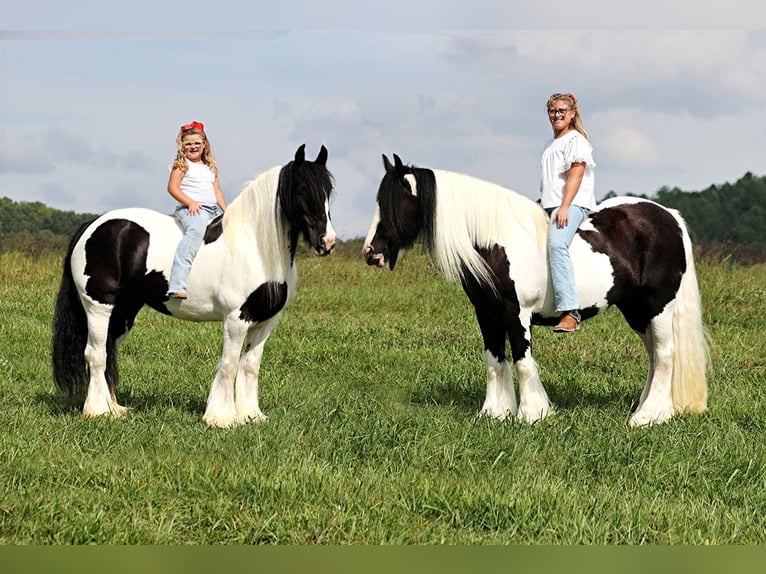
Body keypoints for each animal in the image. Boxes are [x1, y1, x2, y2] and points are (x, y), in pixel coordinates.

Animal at [54, 146, 336, 430]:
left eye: (328, 191)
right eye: (302, 189)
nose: (327, 242)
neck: (255, 247)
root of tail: (93, 224)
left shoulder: (265, 321)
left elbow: (250, 366)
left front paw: (251, 416)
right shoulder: (236, 319)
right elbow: (229, 365)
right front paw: (222, 418)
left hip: (124, 310)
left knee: (109, 352)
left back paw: (114, 408)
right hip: (98, 306)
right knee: (95, 354)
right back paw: (98, 411)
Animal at [364, 155, 712, 430]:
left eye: (392, 204)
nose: (371, 252)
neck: (497, 240)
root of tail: (669, 216)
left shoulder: (516, 313)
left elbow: (522, 361)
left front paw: (532, 414)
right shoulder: (487, 313)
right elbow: (494, 361)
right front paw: (494, 413)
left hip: (658, 304)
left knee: (665, 355)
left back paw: (647, 417)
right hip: (636, 310)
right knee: (654, 356)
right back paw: (651, 409)